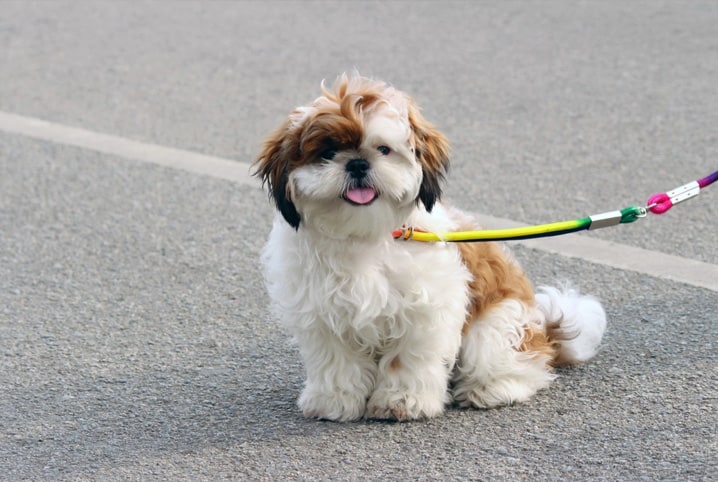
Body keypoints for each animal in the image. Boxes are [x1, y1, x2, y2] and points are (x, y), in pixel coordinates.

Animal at [253, 73, 608, 420]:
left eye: (383, 149)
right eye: (327, 153)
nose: (357, 164)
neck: (366, 235)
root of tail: (544, 330)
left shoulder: (424, 311)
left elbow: (406, 359)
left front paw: (402, 401)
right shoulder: (323, 313)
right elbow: (337, 361)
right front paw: (334, 400)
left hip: (498, 324)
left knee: (518, 363)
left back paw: (493, 388)